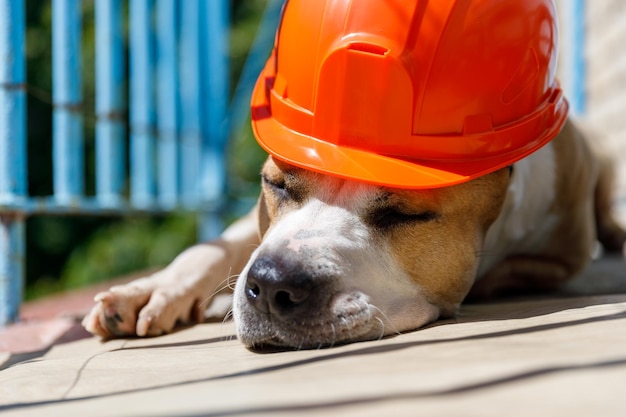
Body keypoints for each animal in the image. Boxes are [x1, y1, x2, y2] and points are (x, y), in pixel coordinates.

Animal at [83, 118, 624, 348]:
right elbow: (216, 248)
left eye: (405, 215)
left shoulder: (562, 250)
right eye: (276, 184)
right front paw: (151, 290)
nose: (272, 285)